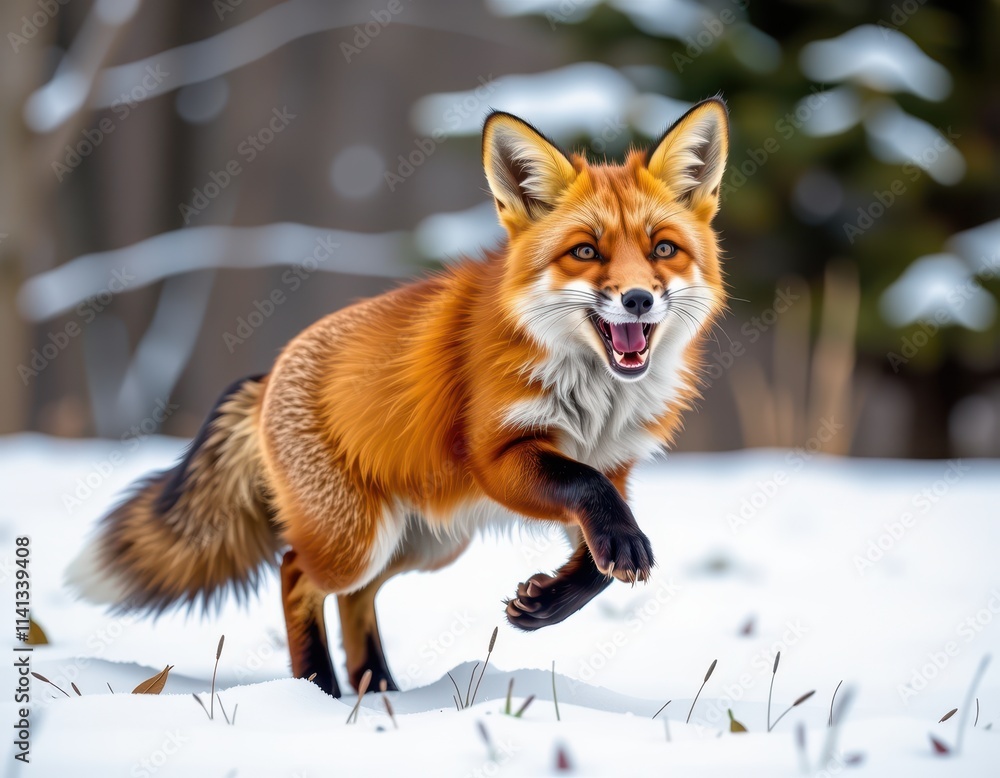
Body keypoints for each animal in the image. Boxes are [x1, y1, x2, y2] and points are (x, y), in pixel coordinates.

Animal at [68, 97, 730, 697]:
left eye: (663, 249)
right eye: (586, 252)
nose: (639, 299)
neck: (595, 400)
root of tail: (269, 375)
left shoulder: (613, 468)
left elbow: (599, 559)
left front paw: (547, 603)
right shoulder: (499, 458)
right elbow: (588, 496)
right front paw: (603, 562)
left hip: (427, 540)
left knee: (356, 599)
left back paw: (376, 688)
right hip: (356, 542)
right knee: (295, 572)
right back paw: (319, 689)